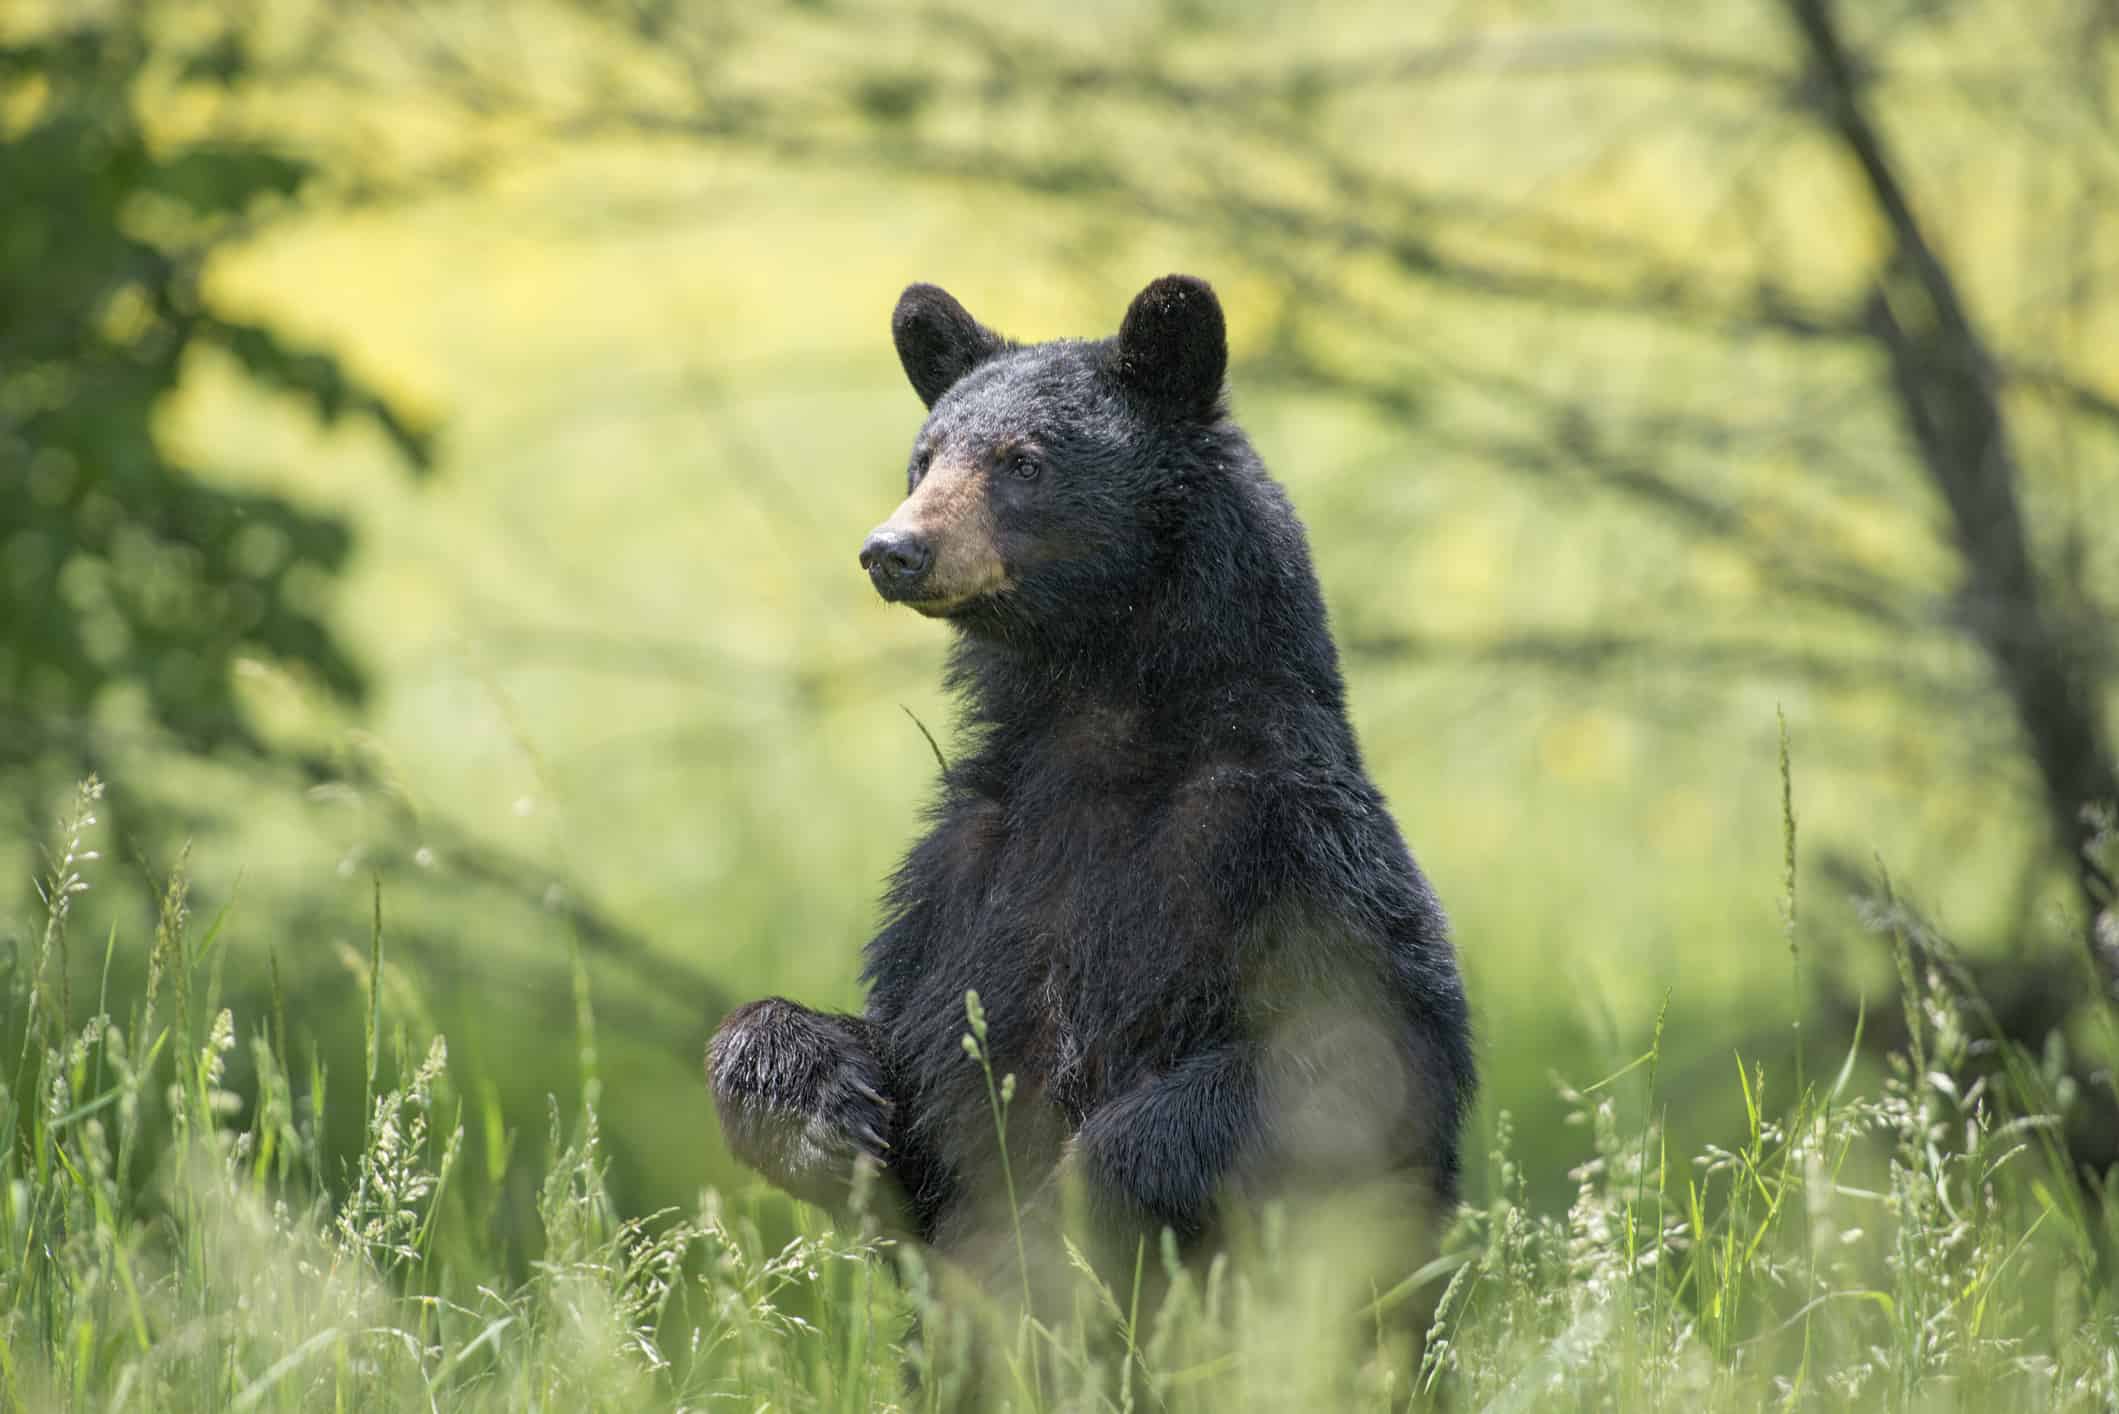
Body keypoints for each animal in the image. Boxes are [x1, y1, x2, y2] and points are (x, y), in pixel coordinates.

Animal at [711, 268, 1474, 1297]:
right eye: (923, 459)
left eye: (1023, 461)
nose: (892, 549)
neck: (1096, 734)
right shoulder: (960, 876)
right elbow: (914, 1057)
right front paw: (818, 1111)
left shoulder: (1286, 843)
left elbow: (1352, 1052)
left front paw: (1079, 1204)